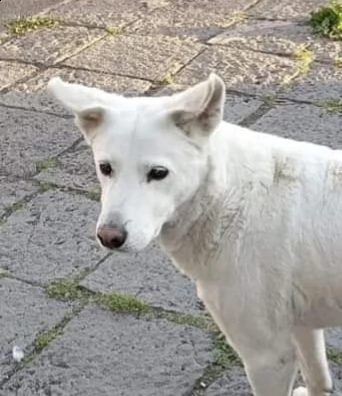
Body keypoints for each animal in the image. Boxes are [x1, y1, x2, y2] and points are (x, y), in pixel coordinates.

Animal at [46, 74, 342, 396]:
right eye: (105, 168)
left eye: (158, 173)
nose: (109, 237)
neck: (229, 197)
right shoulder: (303, 326)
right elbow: (318, 378)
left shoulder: (268, 357)